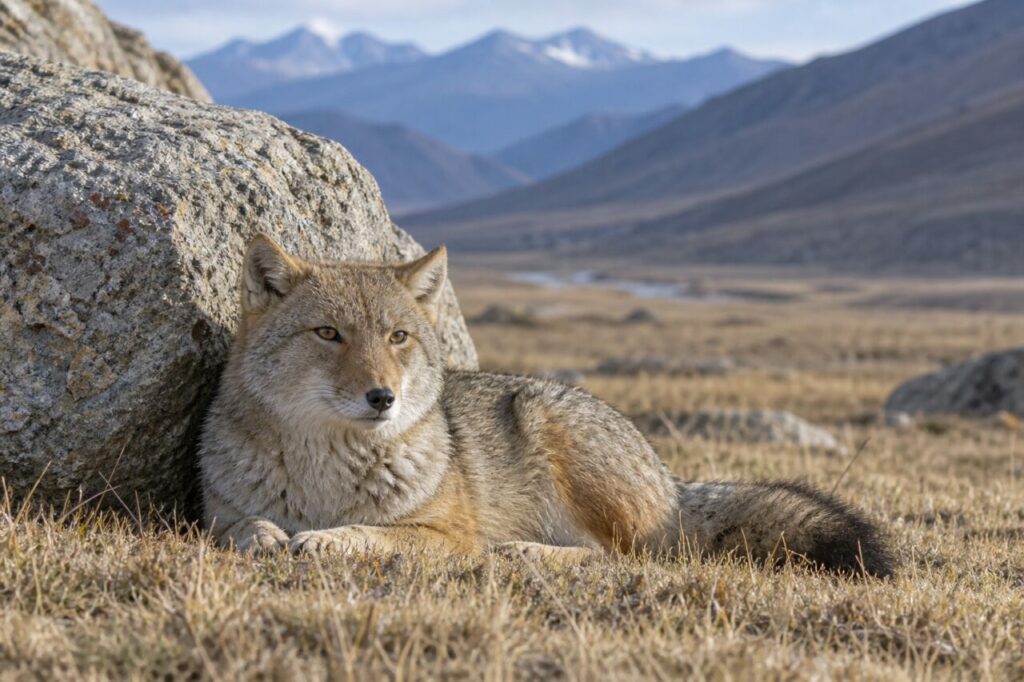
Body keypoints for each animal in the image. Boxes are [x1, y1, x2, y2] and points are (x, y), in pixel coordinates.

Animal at [198, 234, 893, 577]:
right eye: (329, 334)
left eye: (397, 337)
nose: (383, 397)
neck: (325, 476)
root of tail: (673, 482)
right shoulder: (214, 516)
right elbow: (238, 527)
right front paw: (267, 535)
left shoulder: (448, 535)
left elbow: (370, 533)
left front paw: (324, 540)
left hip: (554, 433)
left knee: (623, 557)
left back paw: (525, 553)